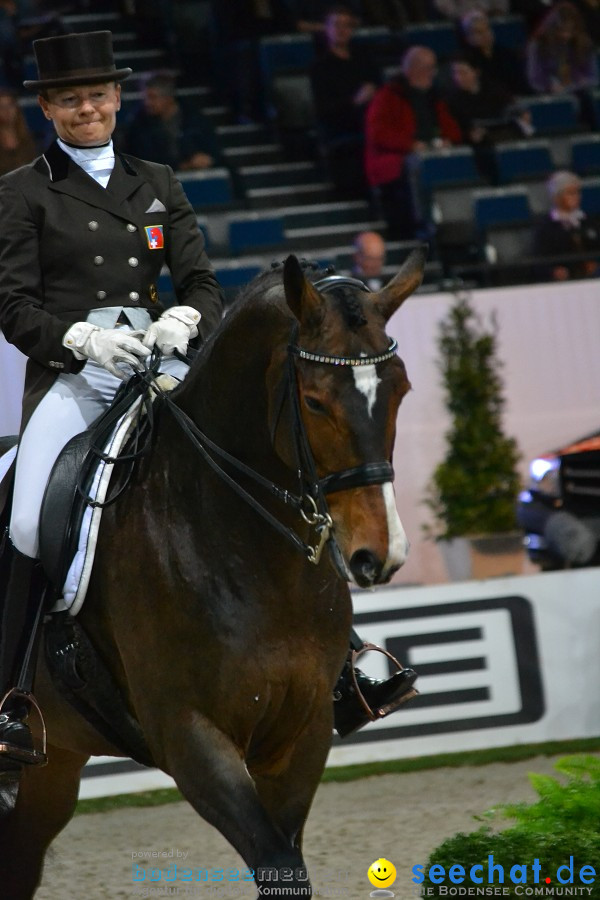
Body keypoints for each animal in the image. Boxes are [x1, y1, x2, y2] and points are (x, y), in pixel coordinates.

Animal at [0, 248, 424, 900]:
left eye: (401, 389)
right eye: (314, 401)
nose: (380, 554)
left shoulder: (302, 732)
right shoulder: (191, 738)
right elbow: (278, 862)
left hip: (50, 771)